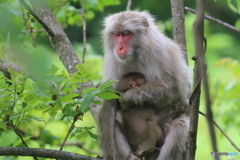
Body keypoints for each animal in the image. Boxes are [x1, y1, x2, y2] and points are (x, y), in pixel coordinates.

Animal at [97, 10, 189, 159]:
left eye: (126, 33)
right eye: (116, 34)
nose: (120, 48)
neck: (135, 53)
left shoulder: (160, 51)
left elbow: (172, 87)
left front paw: (128, 98)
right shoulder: (113, 59)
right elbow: (109, 101)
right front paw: (109, 154)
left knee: (179, 126)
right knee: (114, 126)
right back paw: (130, 156)